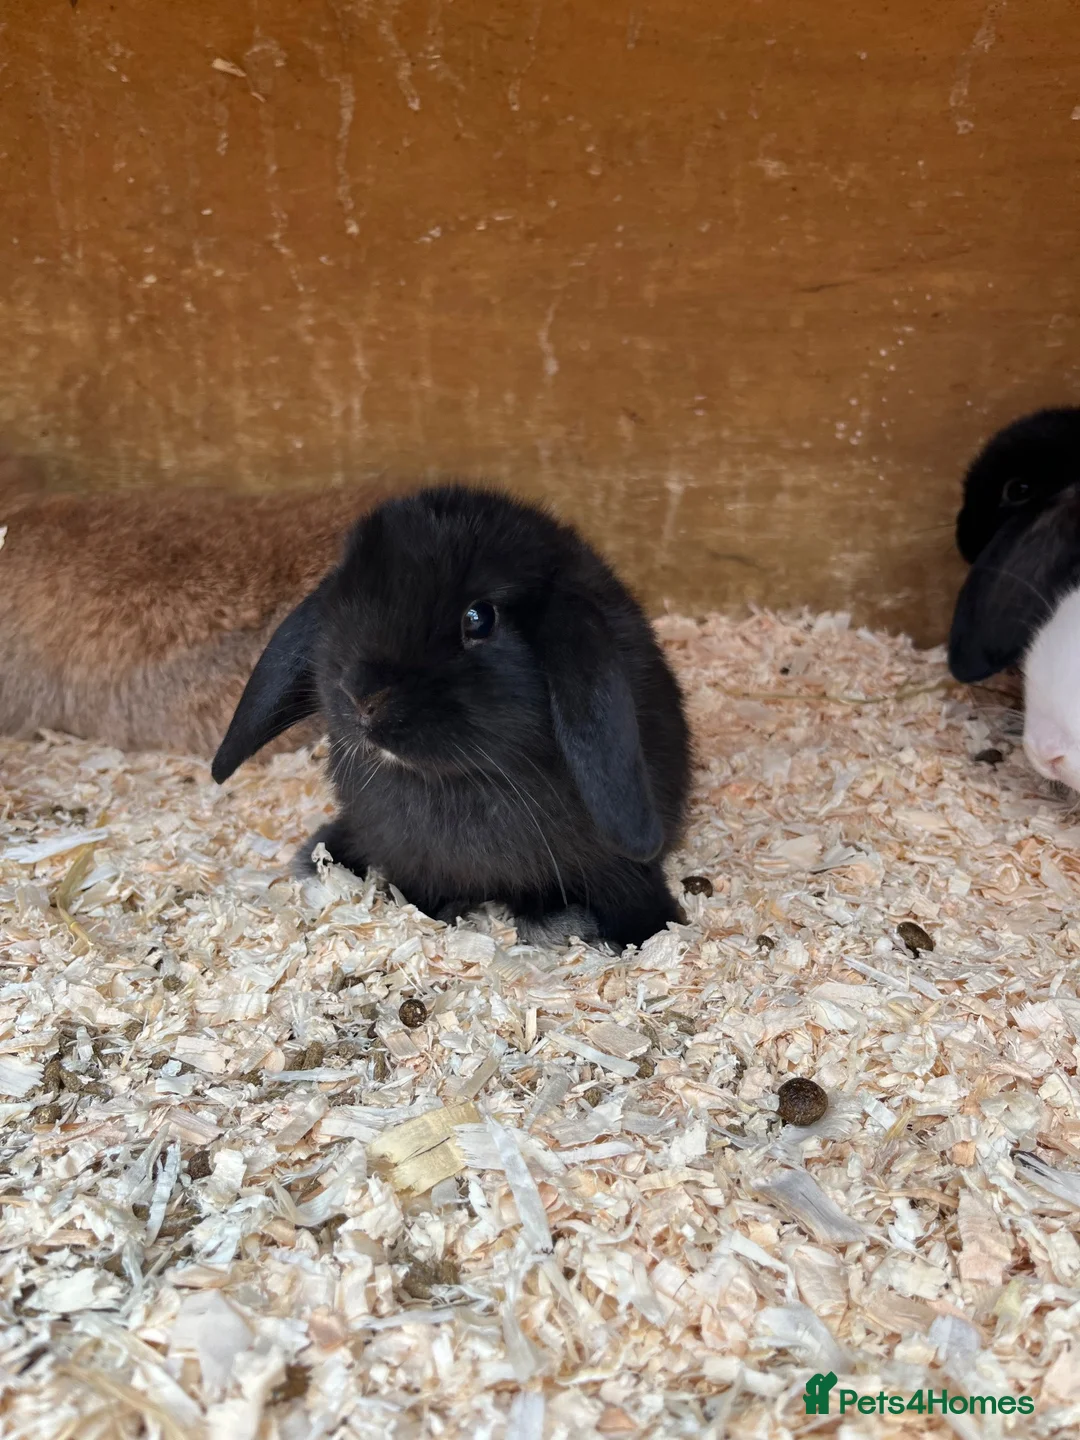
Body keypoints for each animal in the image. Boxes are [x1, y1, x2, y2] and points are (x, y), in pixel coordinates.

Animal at [211, 483, 692, 949]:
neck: (460, 781)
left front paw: (650, 931)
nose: (363, 696)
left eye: (479, 618)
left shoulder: (612, 865)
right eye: (341, 601)